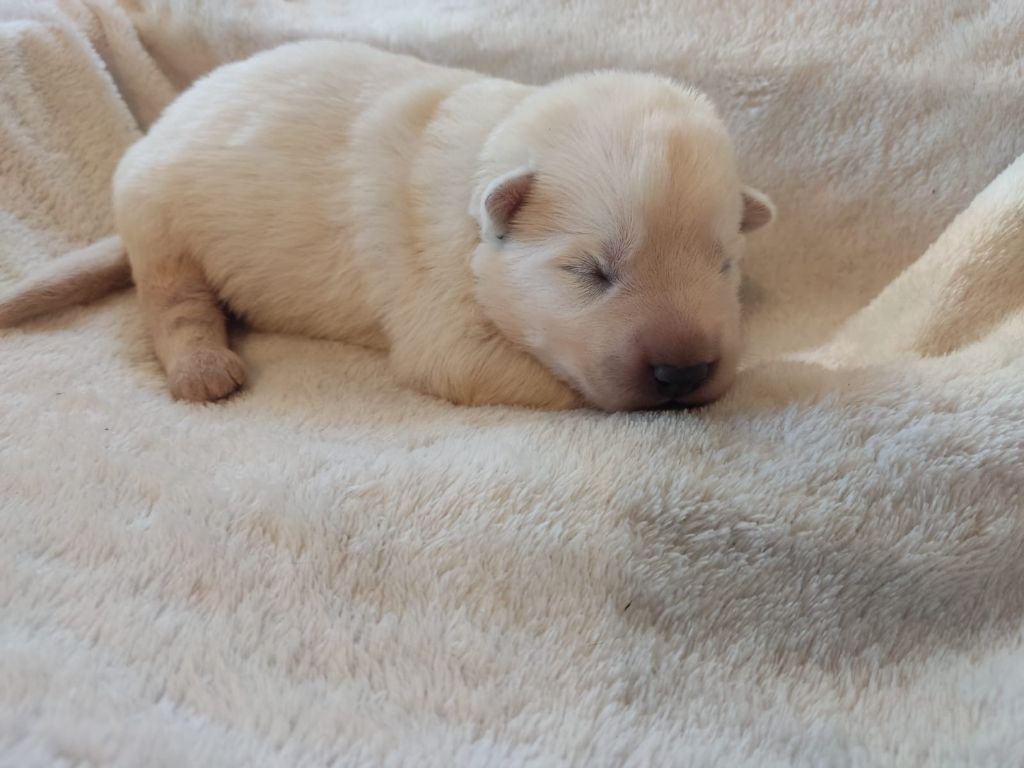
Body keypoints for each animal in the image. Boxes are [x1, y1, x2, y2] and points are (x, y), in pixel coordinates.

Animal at [0, 40, 774, 415]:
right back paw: (204, 367)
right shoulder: (445, 321)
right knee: (172, 302)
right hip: (162, 221)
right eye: (590, 273)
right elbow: (529, 377)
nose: (684, 371)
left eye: (725, 266)